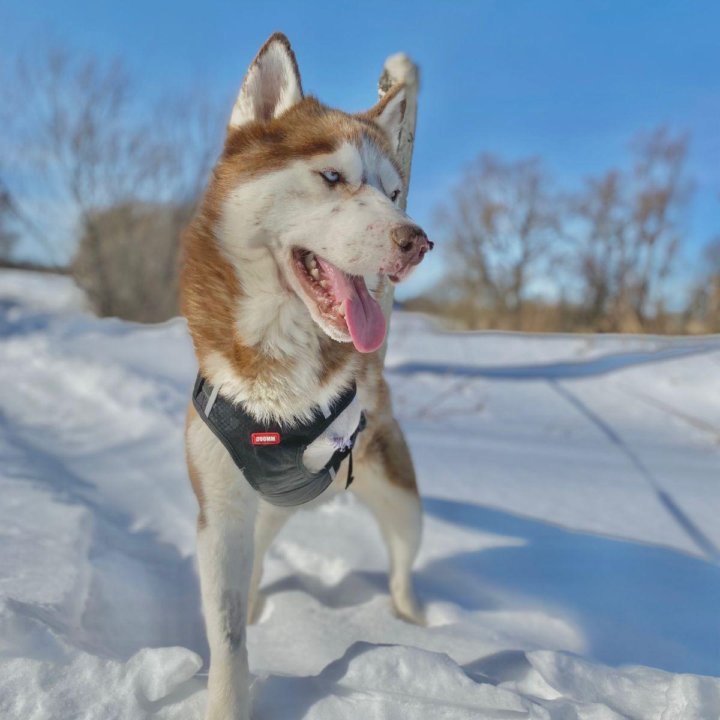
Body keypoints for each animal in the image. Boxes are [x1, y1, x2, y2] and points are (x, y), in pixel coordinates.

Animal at [181, 33, 434, 720]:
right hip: (267, 510)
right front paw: (228, 697)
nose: (417, 242)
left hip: (401, 501)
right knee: (257, 568)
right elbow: (227, 635)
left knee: (401, 568)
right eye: (332, 176)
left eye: (393, 193)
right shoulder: (222, 511)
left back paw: (416, 624)